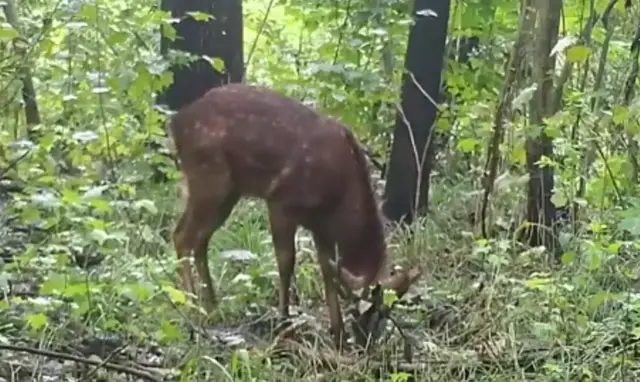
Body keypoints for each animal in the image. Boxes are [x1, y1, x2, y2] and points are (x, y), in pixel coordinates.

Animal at [168, 83, 422, 346]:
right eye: (365, 307)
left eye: (387, 311)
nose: (366, 342)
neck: (338, 199)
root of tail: (176, 123)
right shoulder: (281, 203)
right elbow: (286, 262)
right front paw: (285, 323)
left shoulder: (321, 228)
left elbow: (327, 271)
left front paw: (337, 333)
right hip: (209, 179)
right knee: (182, 236)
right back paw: (191, 307)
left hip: (227, 192)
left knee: (198, 239)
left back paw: (211, 306)